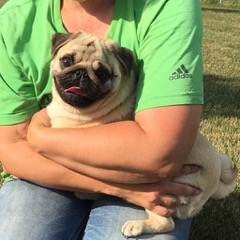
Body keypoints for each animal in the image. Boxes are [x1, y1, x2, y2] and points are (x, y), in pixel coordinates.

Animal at [47, 30, 236, 238]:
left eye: (102, 73)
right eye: (66, 60)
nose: (80, 73)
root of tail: (215, 179)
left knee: (166, 223)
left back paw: (135, 226)